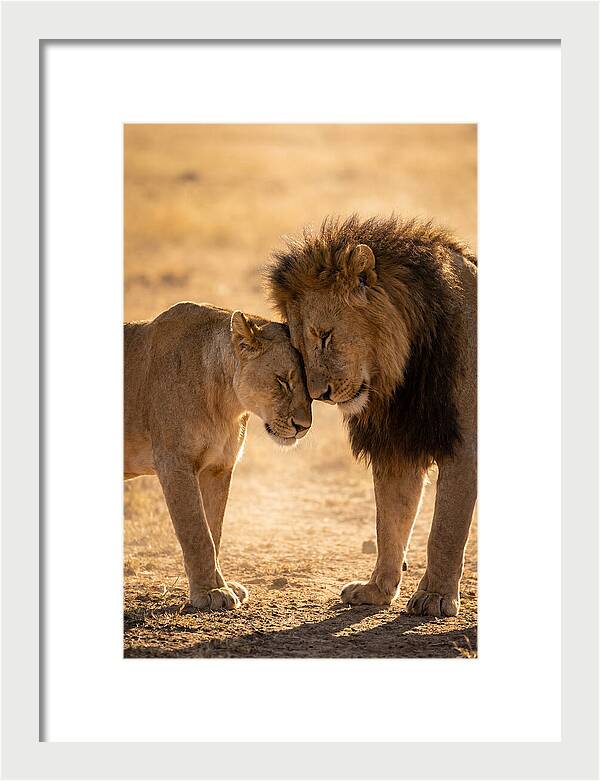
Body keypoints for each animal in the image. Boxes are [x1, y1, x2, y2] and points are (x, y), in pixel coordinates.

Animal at [124, 302, 312, 610]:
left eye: (312, 388)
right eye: (282, 381)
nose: (304, 426)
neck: (227, 403)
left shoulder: (218, 467)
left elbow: (214, 530)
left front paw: (222, 585)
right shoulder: (174, 463)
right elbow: (197, 533)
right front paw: (210, 593)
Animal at [266, 215, 477, 617]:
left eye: (325, 335)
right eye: (299, 347)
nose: (320, 395)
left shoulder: (465, 445)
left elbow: (445, 528)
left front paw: (435, 596)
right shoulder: (397, 446)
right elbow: (389, 522)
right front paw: (377, 590)